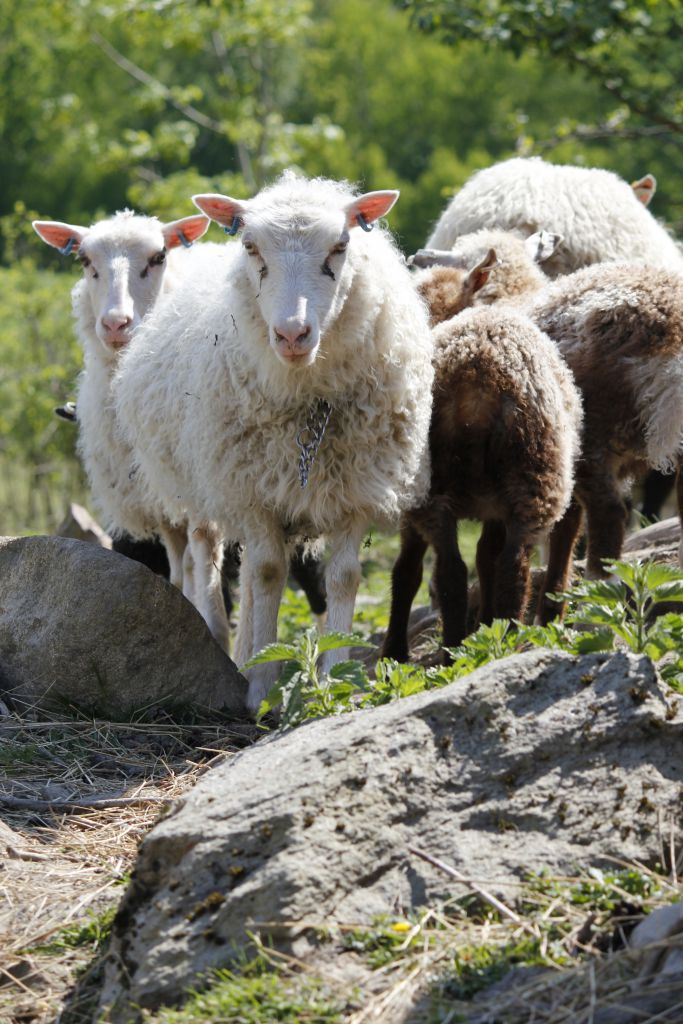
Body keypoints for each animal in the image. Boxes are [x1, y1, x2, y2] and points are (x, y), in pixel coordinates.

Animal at [32, 210, 234, 650]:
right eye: (85, 261)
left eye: (159, 257)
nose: (115, 324)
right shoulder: (156, 495)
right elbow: (178, 564)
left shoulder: (196, 480)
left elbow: (205, 554)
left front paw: (217, 634)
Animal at [112, 172, 434, 713]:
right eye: (250, 247)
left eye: (341, 246)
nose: (292, 334)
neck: (308, 402)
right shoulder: (251, 491)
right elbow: (264, 574)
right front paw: (261, 687)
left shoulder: (355, 489)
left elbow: (343, 578)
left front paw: (335, 681)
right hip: (202, 481)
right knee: (208, 558)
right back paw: (230, 647)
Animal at [381, 254, 582, 660]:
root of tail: (480, 370)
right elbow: (480, 558)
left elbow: (409, 569)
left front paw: (394, 652)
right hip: (534, 474)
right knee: (507, 565)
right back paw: (502, 639)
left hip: (439, 486)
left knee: (452, 570)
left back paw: (454, 651)